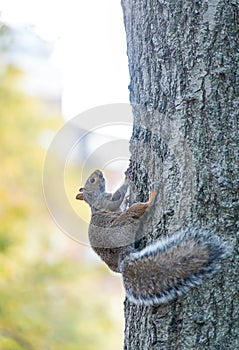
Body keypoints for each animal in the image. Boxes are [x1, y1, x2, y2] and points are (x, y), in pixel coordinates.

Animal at [75, 169, 229, 304]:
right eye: (92, 180)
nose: (99, 172)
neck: (94, 198)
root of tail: (121, 258)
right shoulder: (105, 201)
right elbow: (116, 199)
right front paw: (128, 179)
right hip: (124, 222)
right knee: (141, 208)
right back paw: (152, 195)